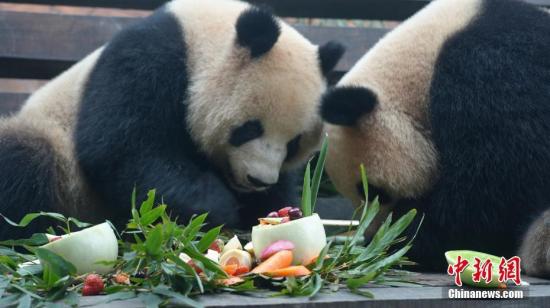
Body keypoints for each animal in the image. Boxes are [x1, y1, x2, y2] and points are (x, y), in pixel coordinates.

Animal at [0, 0, 344, 238]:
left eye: (293, 143)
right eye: (249, 129)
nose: (258, 180)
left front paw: (269, 209)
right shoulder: (148, 59)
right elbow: (123, 150)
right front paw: (215, 206)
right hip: (62, 164)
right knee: (25, 159)